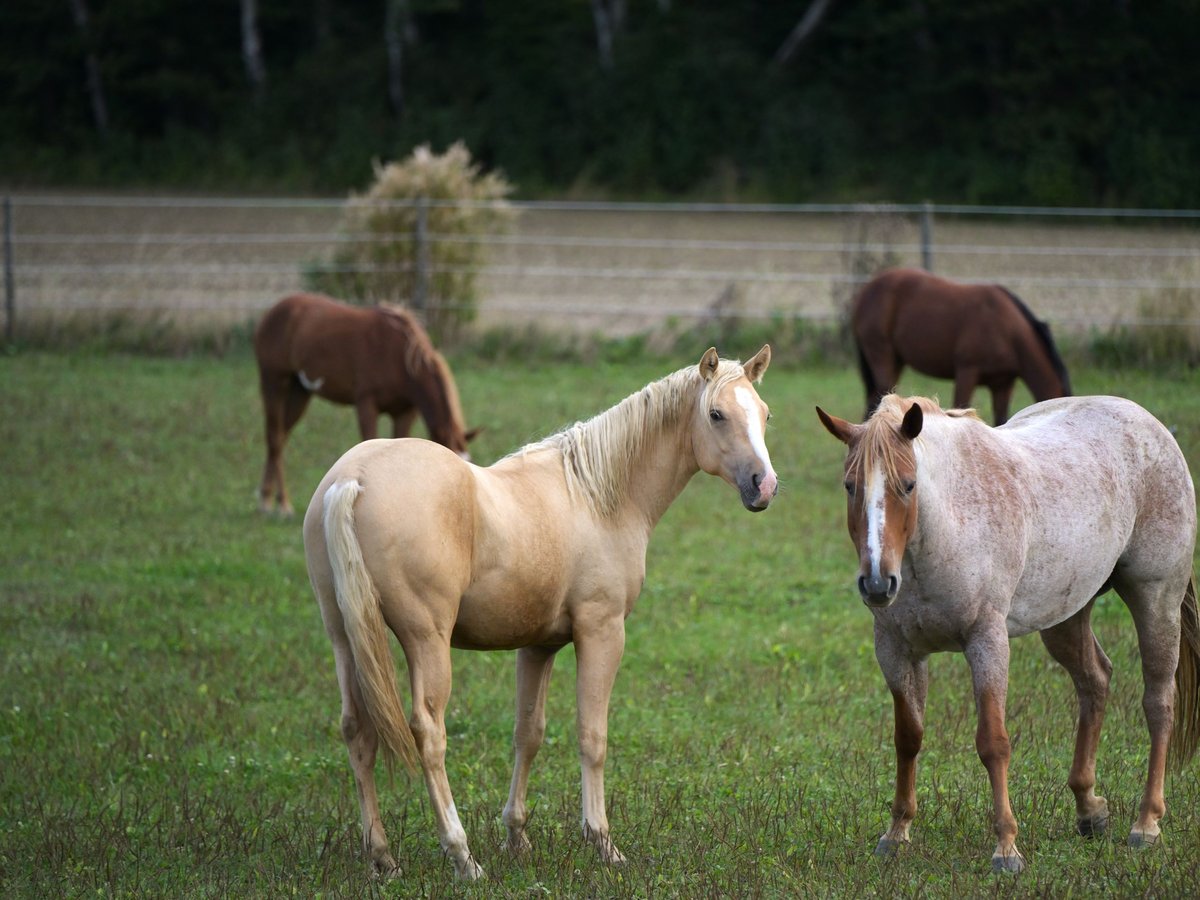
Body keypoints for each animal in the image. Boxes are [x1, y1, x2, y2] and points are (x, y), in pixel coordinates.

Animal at [253, 296, 477, 518]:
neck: (399, 356)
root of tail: (275, 309)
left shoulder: (405, 413)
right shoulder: (366, 404)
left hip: (300, 391)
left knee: (281, 437)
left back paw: (274, 499)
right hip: (274, 381)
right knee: (274, 437)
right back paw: (274, 503)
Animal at [302, 348, 777, 883]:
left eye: (764, 415)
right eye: (716, 414)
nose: (764, 486)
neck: (596, 497)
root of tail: (351, 479)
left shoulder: (538, 645)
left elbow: (527, 734)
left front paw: (517, 837)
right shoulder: (601, 632)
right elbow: (592, 737)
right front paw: (603, 842)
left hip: (345, 638)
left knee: (356, 731)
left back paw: (382, 856)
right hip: (425, 640)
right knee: (428, 733)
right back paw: (463, 856)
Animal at [816, 393, 1200, 873]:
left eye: (907, 485)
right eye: (850, 486)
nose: (876, 584)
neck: (945, 529)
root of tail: (1151, 424)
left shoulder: (987, 642)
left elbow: (993, 743)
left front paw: (1006, 847)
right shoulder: (896, 651)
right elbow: (908, 738)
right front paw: (896, 832)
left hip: (1156, 599)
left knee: (1158, 703)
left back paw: (1147, 822)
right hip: (1067, 615)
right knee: (1095, 680)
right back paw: (1089, 809)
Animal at [849, 267, 1075, 427]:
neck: (1006, 329)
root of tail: (865, 291)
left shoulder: (1003, 384)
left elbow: (1001, 420)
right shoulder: (967, 373)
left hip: (896, 361)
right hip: (881, 354)